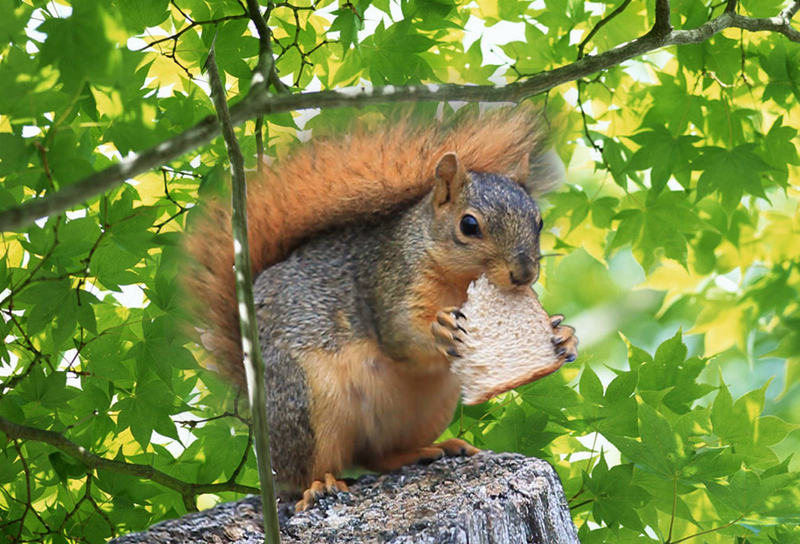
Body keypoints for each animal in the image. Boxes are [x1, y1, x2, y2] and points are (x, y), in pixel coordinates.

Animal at [184, 108, 578, 511]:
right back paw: (319, 485)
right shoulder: (391, 282)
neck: (459, 282)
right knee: (304, 473)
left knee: (378, 456)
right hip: (305, 401)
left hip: (429, 407)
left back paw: (430, 450)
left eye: (539, 221)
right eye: (469, 225)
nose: (524, 274)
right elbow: (401, 336)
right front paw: (441, 332)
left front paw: (563, 336)